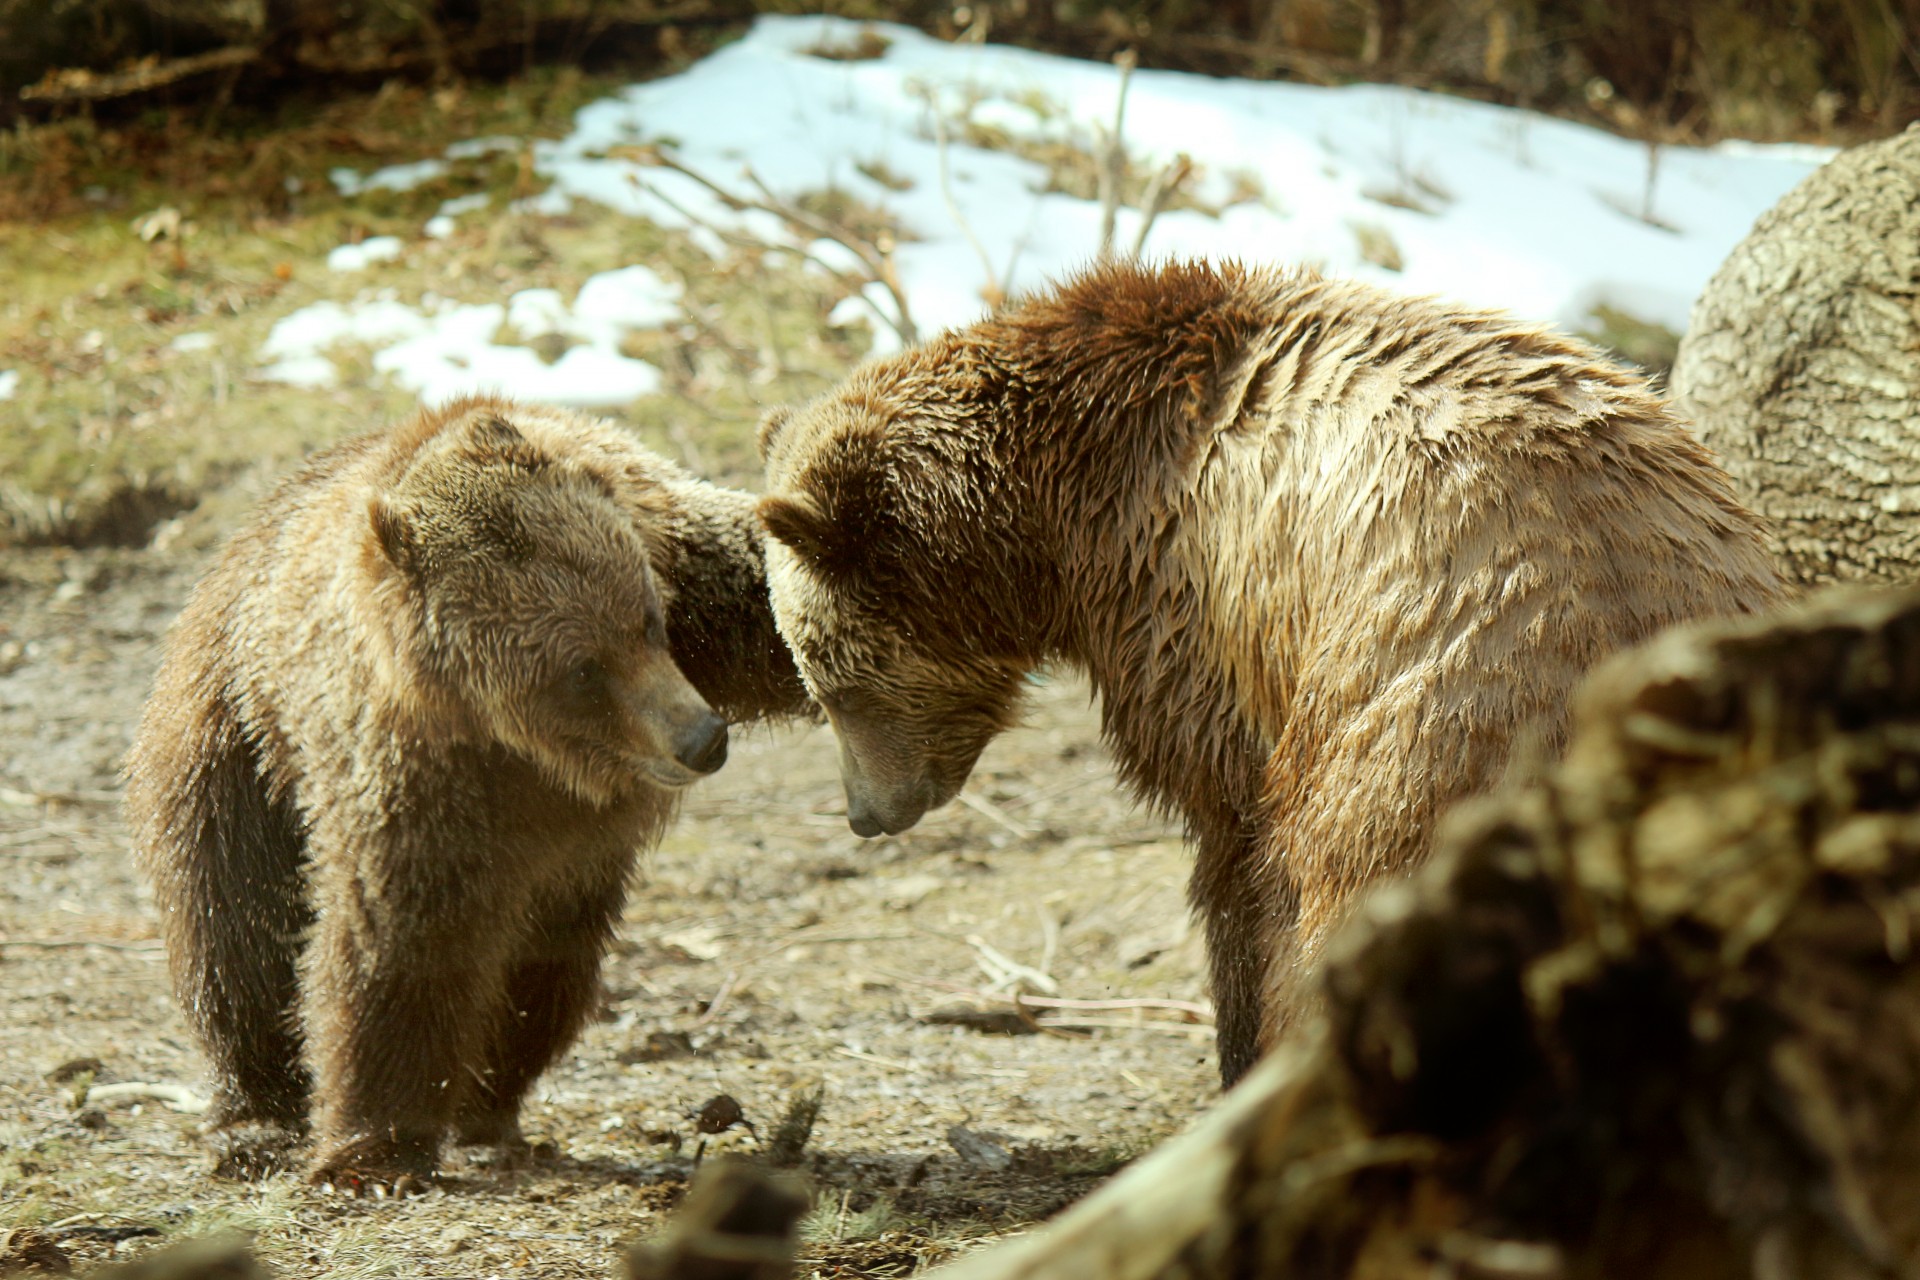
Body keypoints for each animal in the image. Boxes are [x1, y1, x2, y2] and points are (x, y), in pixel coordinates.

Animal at [123, 393, 802, 1189]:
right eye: (582, 670)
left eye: (646, 618)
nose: (702, 738)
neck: (523, 748)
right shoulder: (410, 772)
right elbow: (405, 938)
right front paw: (376, 1152)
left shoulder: (682, 565)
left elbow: (772, 584)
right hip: (234, 742)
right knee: (235, 931)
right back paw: (258, 1115)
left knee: (541, 964)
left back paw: (490, 1103)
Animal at [756, 264, 1789, 1090]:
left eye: (831, 680)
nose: (867, 811)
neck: (1057, 509)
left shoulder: (1198, 614)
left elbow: (1234, 849)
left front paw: (1240, 1037)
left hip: (1426, 711)